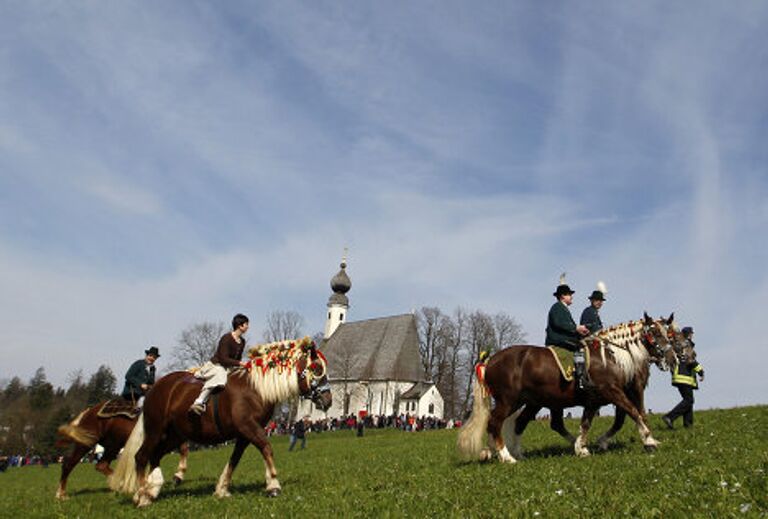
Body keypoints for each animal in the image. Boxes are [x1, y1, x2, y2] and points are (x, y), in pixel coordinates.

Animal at [55, 402, 189, 500]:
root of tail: (88, 411)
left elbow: (183, 450)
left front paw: (177, 476)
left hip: (113, 445)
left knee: (101, 465)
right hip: (86, 444)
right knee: (68, 464)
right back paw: (61, 494)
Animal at [109, 338, 332, 508]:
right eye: (316, 368)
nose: (328, 399)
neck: (255, 389)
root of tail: (155, 388)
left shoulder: (244, 434)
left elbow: (235, 459)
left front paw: (222, 489)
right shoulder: (249, 427)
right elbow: (267, 448)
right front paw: (273, 485)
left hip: (174, 435)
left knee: (155, 455)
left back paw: (153, 488)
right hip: (156, 430)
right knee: (141, 456)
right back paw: (143, 496)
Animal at [460, 312, 676, 464]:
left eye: (668, 334)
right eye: (655, 333)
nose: (672, 358)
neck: (610, 356)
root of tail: (490, 360)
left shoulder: (594, 400)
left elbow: (587, 423)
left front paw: (581, 447)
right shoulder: (613, 391)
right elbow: (634, 412)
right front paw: (649, 440)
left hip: (526, 402)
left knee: (515, 423)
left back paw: (508, 452)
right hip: (508, 400)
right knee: (495, 422)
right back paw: (506, 456)